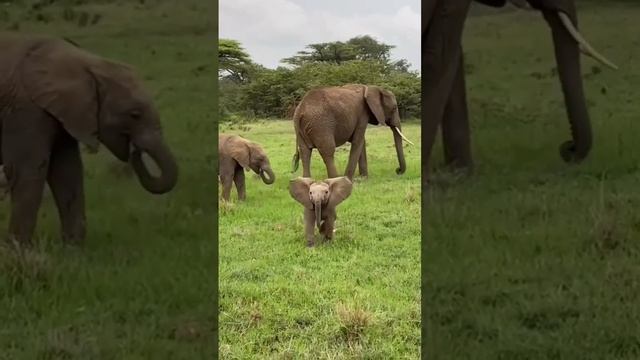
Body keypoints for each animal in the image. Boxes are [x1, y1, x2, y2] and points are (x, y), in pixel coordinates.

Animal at [0, 33, 179, 246]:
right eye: (134, 115)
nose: (135, 151)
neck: (87, 64)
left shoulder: (65, 114)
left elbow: (66, 171)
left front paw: (73, 248)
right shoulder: (25, 111)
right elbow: (28, 171)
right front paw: (19, 249)